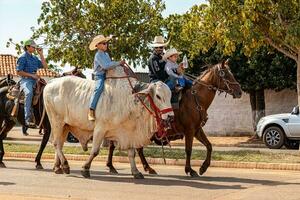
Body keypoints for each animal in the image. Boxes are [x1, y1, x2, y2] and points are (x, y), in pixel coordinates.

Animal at [105, 59, 241, 177]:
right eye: (225, 74)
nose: (239, 91)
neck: (196, 98)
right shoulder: (189, 130)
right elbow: (188, 149)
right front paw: (190, 170)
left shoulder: (197, 130)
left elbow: (209, 146)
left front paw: (203, 167)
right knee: (115, 145)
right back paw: (112, 166)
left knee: (136, 148)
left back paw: (147, 168)